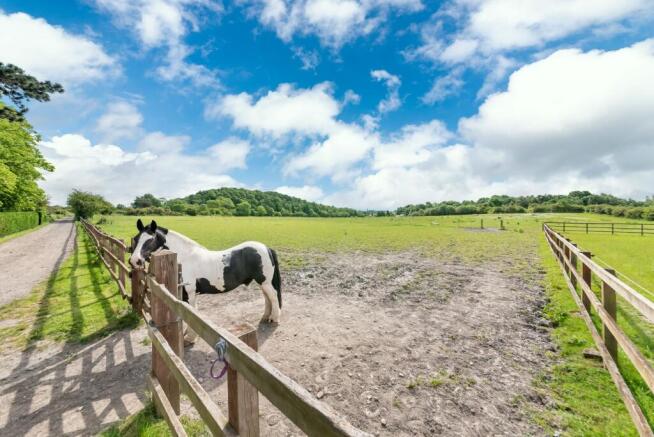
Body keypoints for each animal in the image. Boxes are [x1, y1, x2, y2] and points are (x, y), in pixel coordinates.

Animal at [128, 219, 282, 335]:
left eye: (150, 239)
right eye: (136, 239)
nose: (134, 260)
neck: (184, 258)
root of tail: (266, 248)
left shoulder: (190, 294)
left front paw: (189, 338)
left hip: (265, 282)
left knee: (273, 297)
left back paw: (274, 319)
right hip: (262, 282)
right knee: (268, 298)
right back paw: (265, 317)